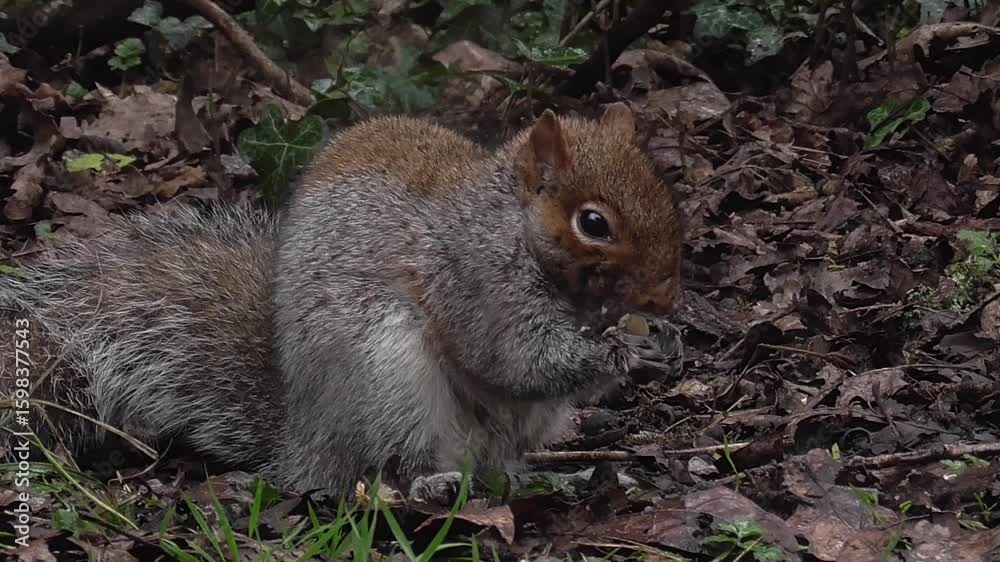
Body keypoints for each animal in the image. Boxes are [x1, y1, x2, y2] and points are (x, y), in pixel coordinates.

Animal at [1, 103, 684, 498]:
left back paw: (559, 477)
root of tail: (303, 446)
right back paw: (432, 483)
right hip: (387, 381)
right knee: (381, 471)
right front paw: (614, 355)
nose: (666, 297)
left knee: (496, 465)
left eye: (661, 189)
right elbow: (511, 358)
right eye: (593, 223)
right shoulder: (470, 279)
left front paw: (659, 344)